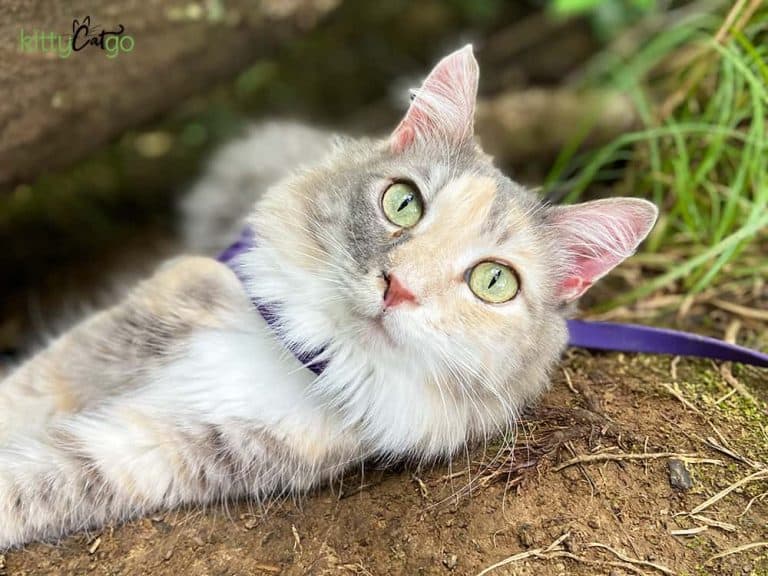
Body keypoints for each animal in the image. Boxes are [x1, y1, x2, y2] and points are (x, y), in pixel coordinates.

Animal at [0, 45, 656, 548]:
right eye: (403, 202)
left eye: (493, 282)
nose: (399, 287)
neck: (303, 349)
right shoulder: (138, 323)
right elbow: (19, 398)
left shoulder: (177, 446)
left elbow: (34, 481)